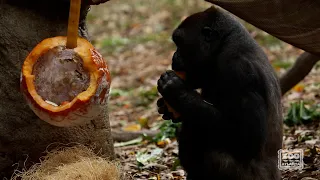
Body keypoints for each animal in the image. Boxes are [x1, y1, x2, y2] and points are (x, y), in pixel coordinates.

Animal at [157, 5, 282, 180]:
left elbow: (247, 138)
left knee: (215, 156)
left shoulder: (239, 70)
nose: (174, 57)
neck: (225, 44)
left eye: (180, 44)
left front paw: (175, 91)